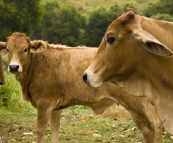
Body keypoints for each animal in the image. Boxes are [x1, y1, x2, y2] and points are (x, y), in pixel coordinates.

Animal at [0, 32, 166, 143]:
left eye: (25, 49)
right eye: (8, 49)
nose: (13, 67)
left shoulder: (44, 103)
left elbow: (40, 129)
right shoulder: (55, 106)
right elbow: (55, 126)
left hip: (135, 104)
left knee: (149, 129)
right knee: (158, 125)